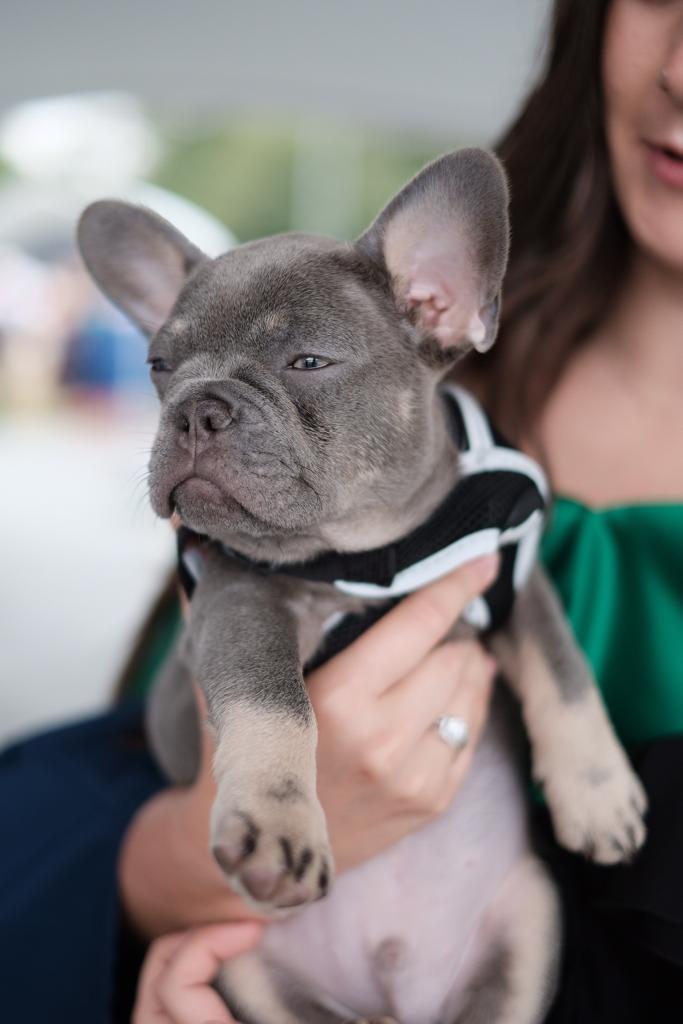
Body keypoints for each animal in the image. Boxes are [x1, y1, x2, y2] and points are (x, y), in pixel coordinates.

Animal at [77, 151, 651, 1024]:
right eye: (157, 368)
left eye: (307, 363)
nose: (194, 408)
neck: (371, 551)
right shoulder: (239, 604)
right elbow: (274, 704)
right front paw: (276, 817)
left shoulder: (512, 571)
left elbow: (563, 669)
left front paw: (597, 793)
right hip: (249, 969)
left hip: (528, 927)